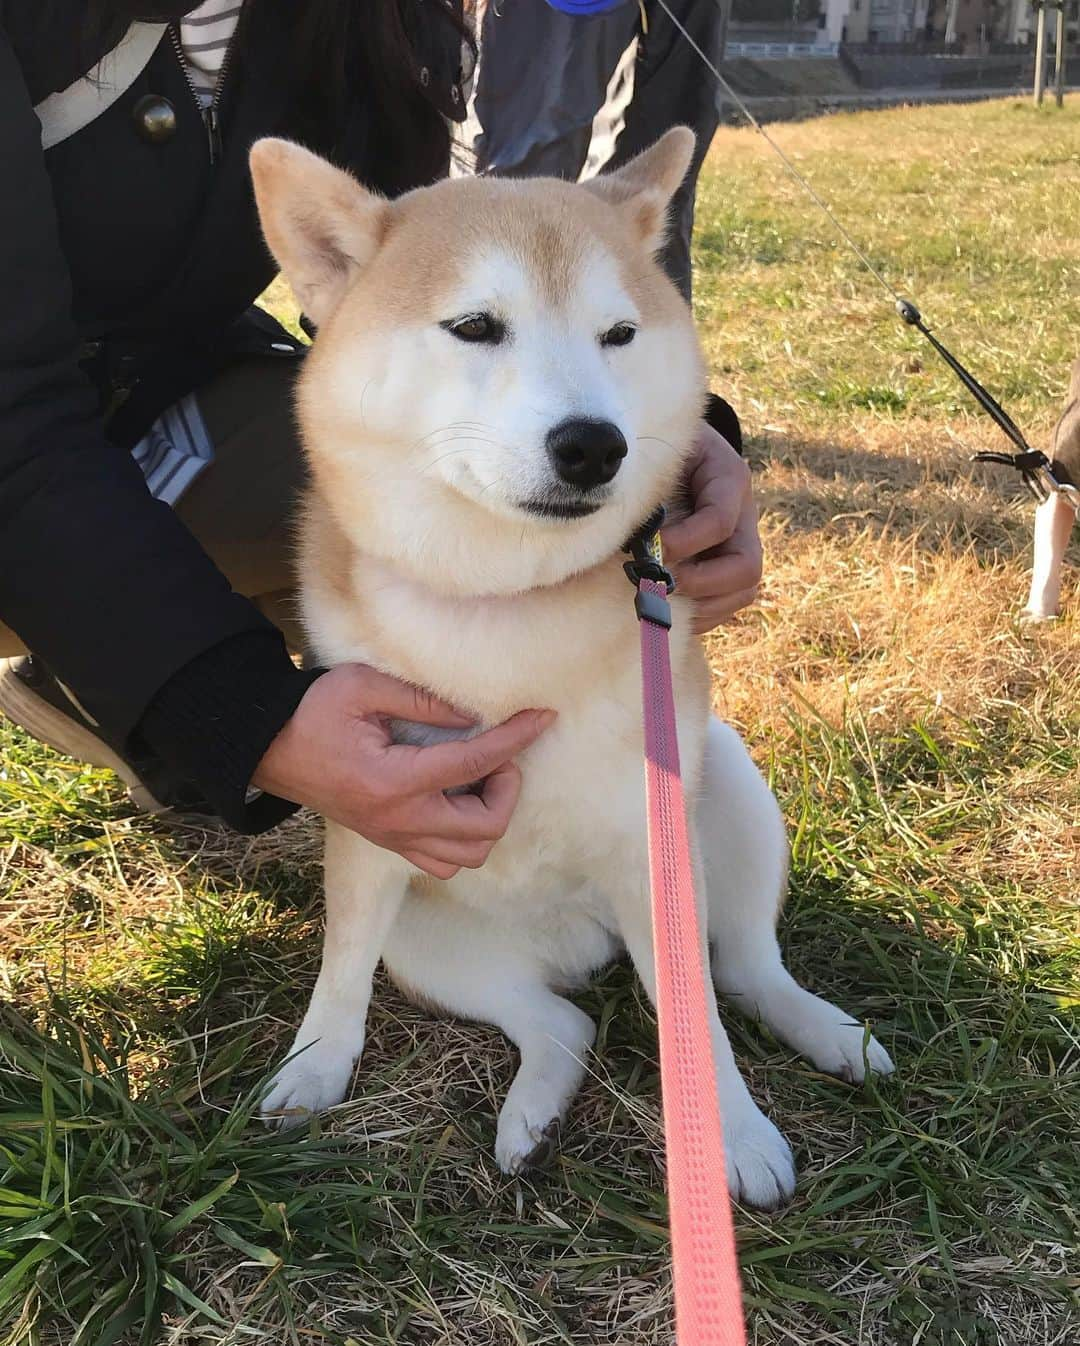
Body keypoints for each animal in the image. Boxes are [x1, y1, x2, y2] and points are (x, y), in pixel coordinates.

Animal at [250, 131, 894, 1216]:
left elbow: (698, 1019)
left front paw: (732, 1133)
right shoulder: (371, 817)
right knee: (563, 1022)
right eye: (475, 326)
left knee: (743, 971)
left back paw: (829, 1032)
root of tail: (580, 944)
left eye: (618, 334)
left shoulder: (653, 838)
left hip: (724, 795)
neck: (505, 609)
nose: (594, 443)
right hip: (433, 940)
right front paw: (315, 1066)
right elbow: (340, 972)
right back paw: (534, 1118)